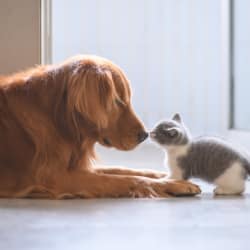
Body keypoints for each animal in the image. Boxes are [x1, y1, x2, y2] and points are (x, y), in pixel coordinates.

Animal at [0, 55, 200, 198]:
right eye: (117, 101)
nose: (145, 135)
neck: (58, 119)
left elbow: (123, 170)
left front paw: (164, 175)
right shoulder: (55, 177)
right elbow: (122, 179)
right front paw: (173, 185)